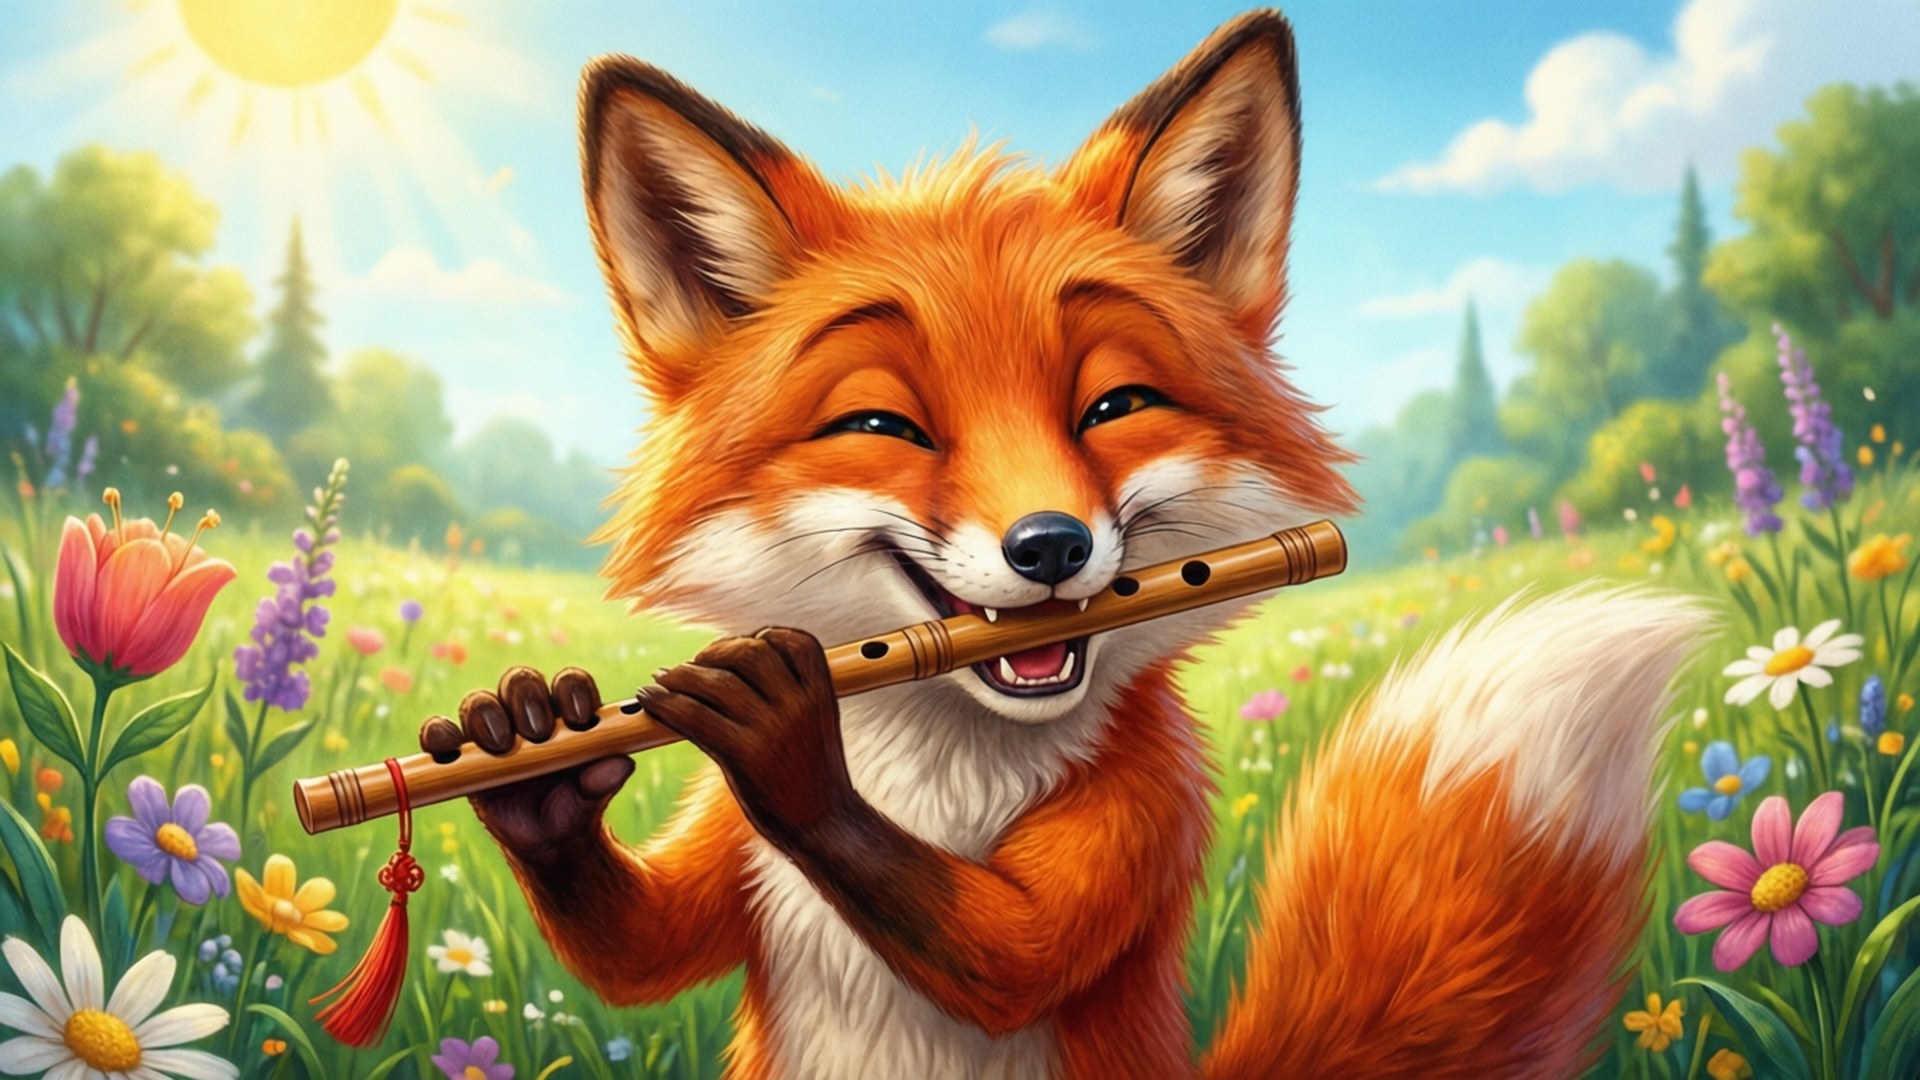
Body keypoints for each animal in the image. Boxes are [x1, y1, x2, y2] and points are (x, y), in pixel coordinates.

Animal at [417, 10, 1704, 1078]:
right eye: (883, 427)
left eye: (1112, 407)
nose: (1049, 547)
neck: (942, 770)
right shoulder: (732, 854)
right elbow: (642, 951)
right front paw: (528, 746)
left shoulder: (1146, 804)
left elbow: (1017, 953)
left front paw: (782, 732)